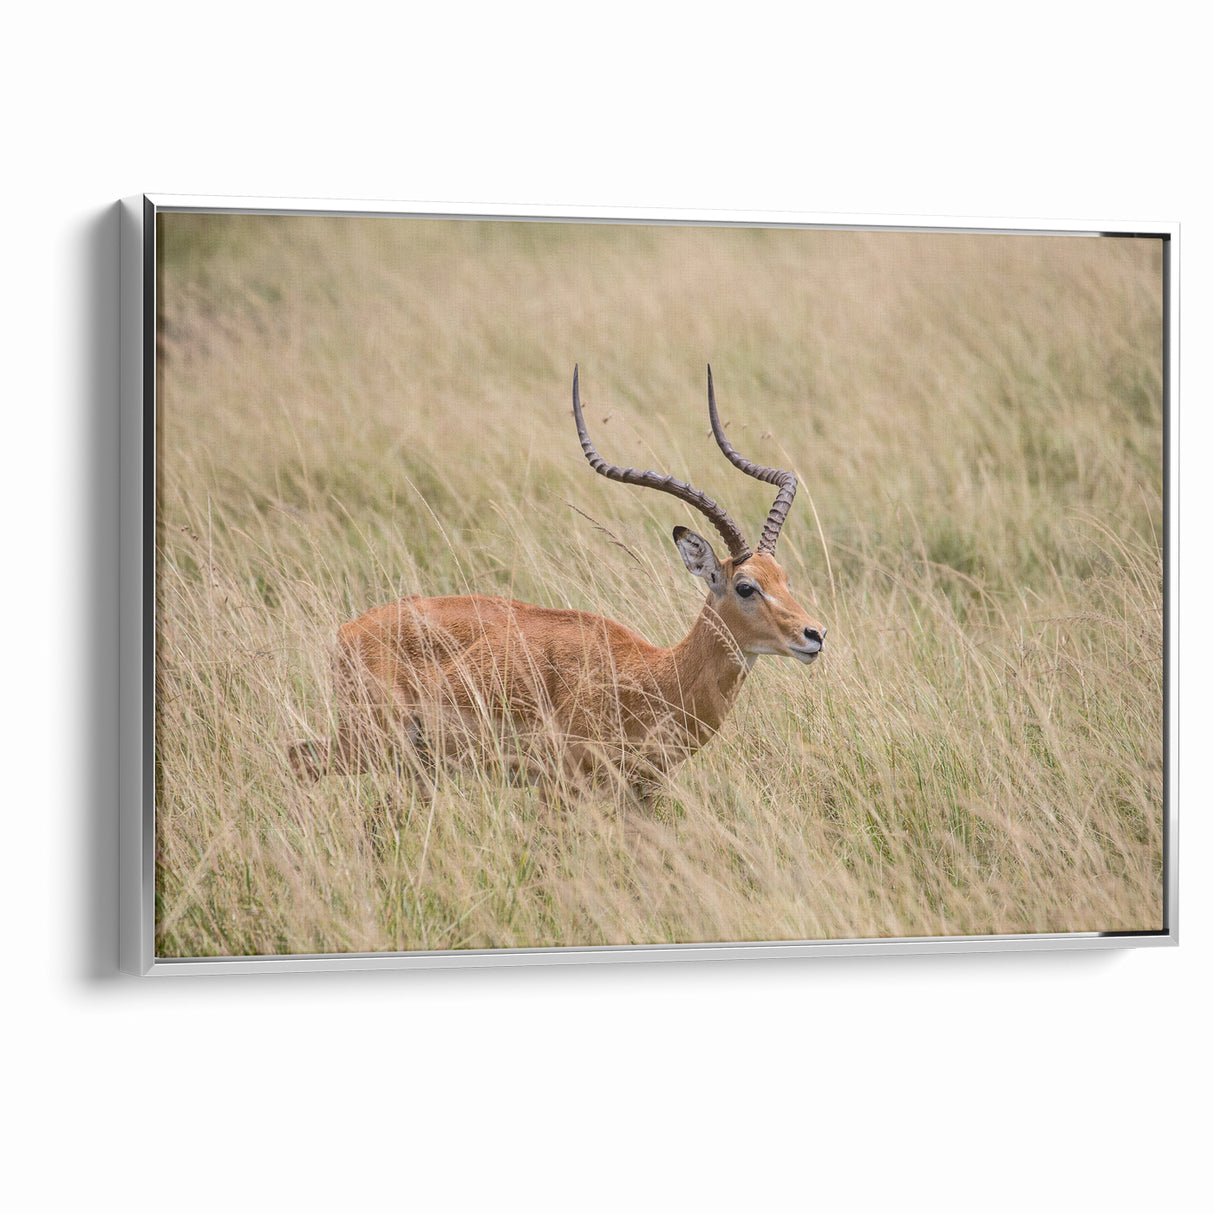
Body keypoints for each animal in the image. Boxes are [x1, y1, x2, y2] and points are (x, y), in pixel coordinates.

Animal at [289, 366, 826, 802]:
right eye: (745, 587)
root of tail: (348, 630)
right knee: (298, 760)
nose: (814, 635)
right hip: (371, 742)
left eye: (783, 577)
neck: (650, 676)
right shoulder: (562, 787)